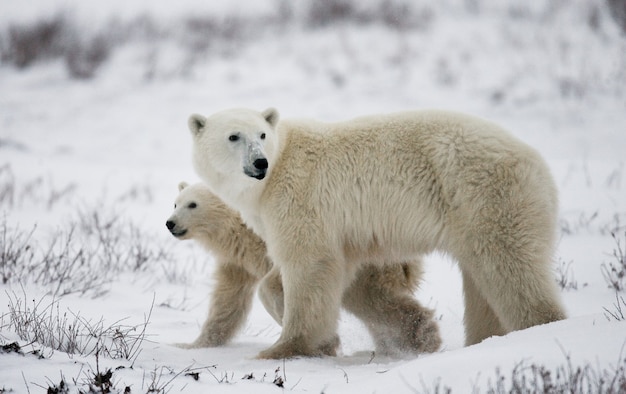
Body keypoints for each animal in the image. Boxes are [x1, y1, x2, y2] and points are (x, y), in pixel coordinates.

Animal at [186, 107, 564, 360]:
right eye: (234, 136)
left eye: (262, 135)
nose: (259, 162)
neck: (278, 168)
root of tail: (539, 166)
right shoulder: (342, 230)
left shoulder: (301, 198)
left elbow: (308, 265)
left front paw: (283, 348)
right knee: (481, 281)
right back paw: (482, 342)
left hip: (485, 195)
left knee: (510, 269)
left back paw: (540, 326)